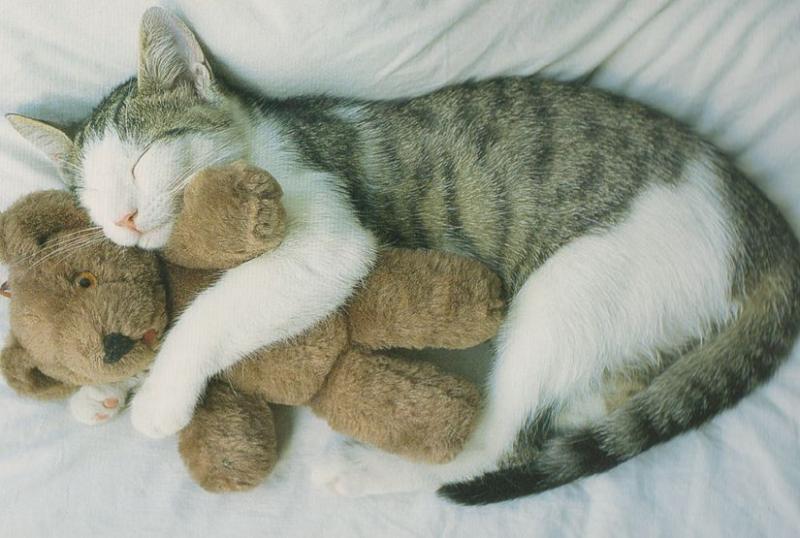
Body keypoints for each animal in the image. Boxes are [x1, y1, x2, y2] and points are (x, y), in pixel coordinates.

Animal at [7, 7, 800, 502]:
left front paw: (160, 395)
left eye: (140, 164)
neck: (263, 136)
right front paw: (111, 384)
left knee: (497, 444)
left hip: (582, 281)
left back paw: (363, 474)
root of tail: (760, 223)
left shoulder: (326, 236)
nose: (124, 219)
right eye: (93, 198)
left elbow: (220, 307)